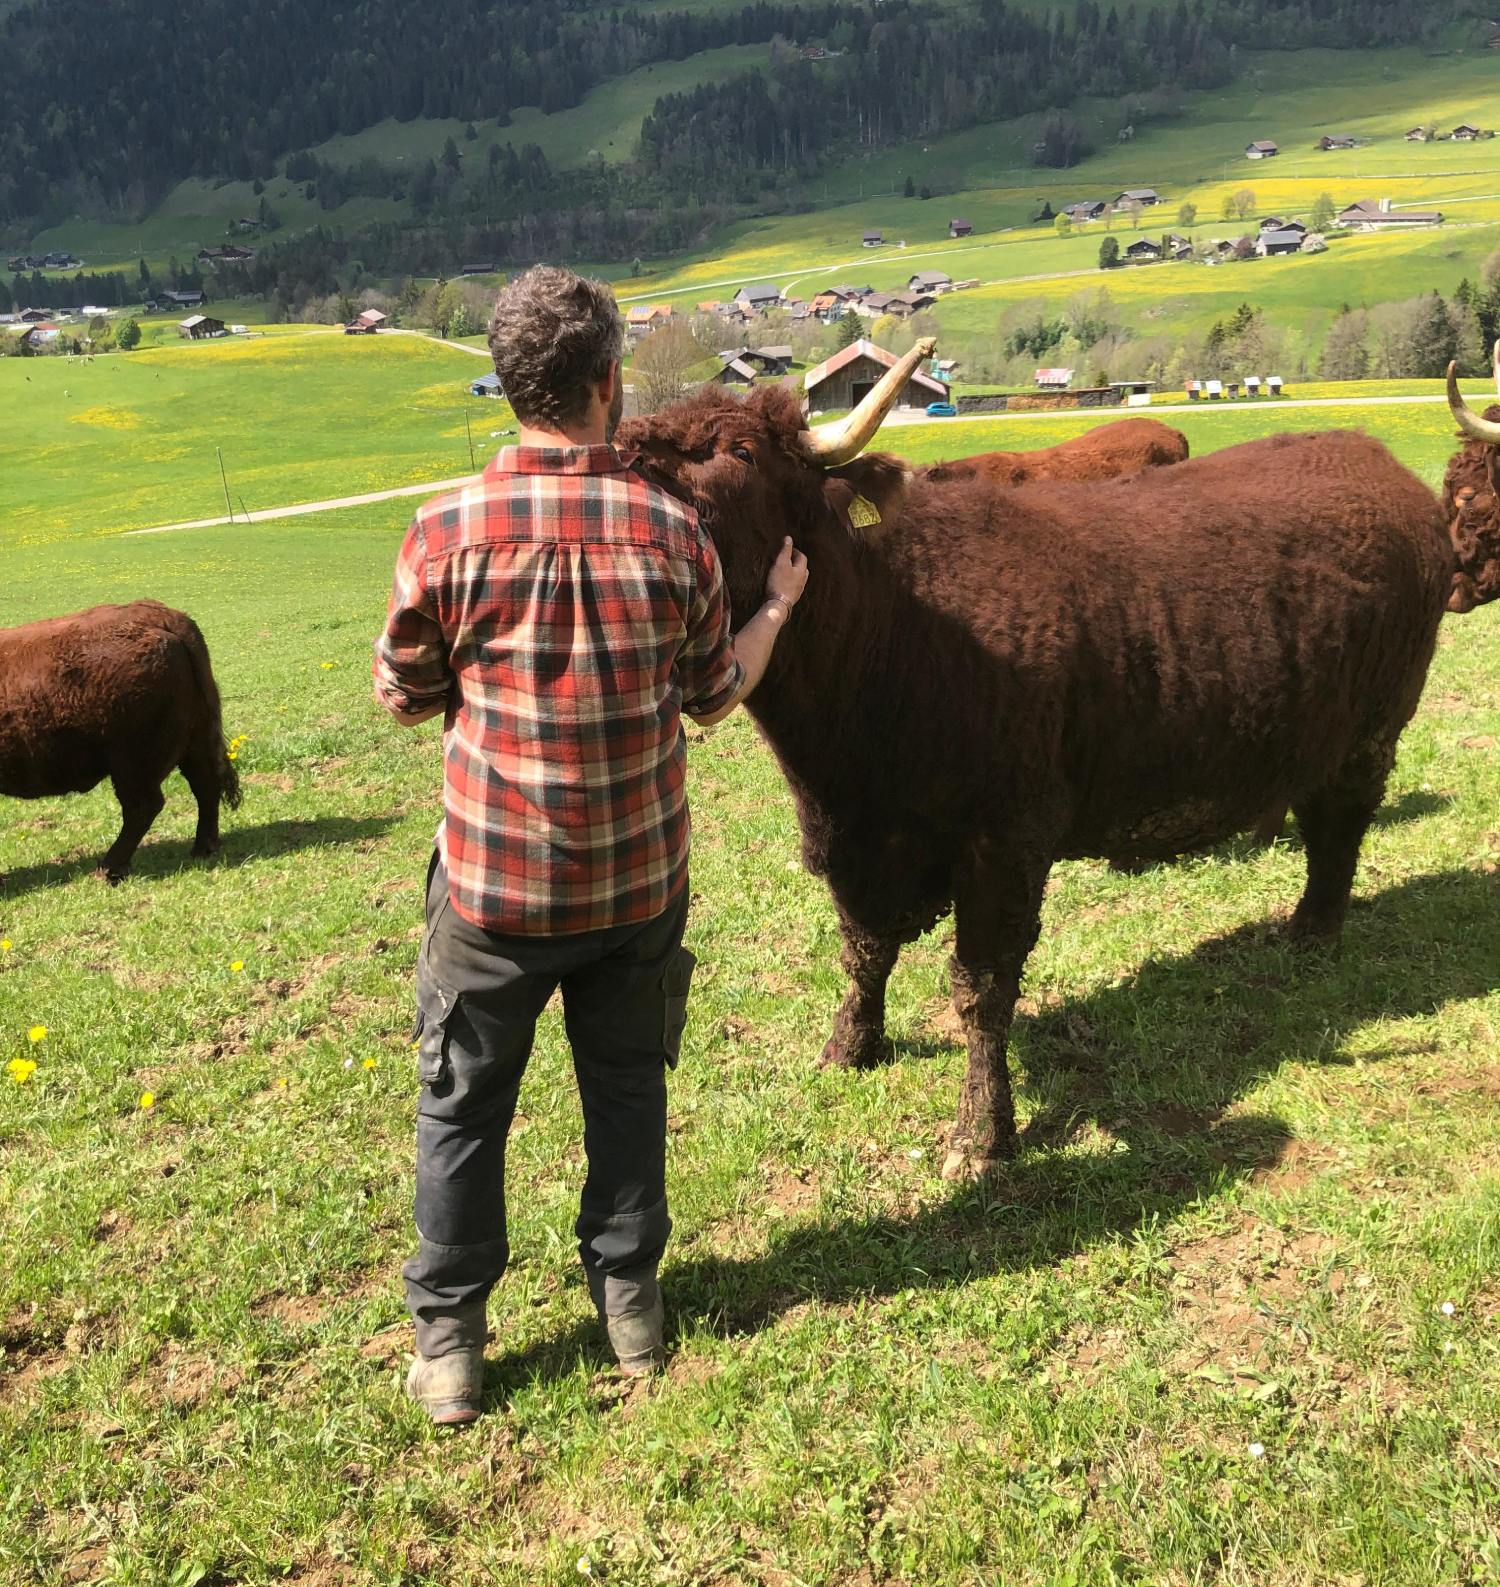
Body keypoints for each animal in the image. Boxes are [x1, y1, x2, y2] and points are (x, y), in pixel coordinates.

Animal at [0, 601, 241, 881]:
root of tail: (163, 616)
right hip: (193, 742)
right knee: (205, 786)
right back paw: (203, 848)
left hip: (132, 763)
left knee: (143, 806)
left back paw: (108, 868)